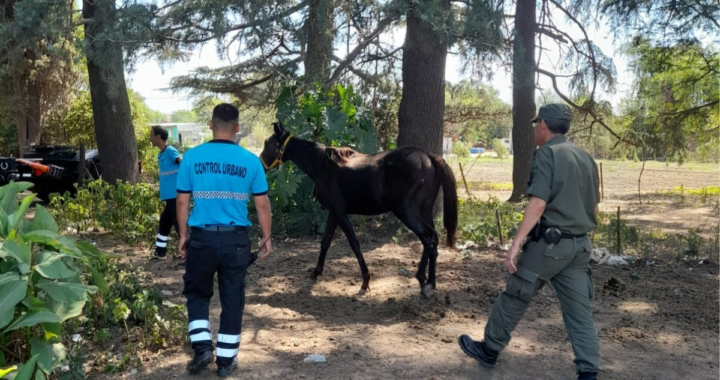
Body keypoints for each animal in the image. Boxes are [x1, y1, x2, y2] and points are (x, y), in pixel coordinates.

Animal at [262, 121, 458, 296]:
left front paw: (365, 281)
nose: (261, 164)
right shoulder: (334, 213)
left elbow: (354, 244)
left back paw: (424, 282)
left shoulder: (340, 213)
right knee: (432, 239)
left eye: (266, 143)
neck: (322, 165)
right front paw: (316, 272)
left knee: (428, 239)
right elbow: (325, 242)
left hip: (406, 212)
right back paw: (429, 282)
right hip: (424, 211)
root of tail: (429, 157)